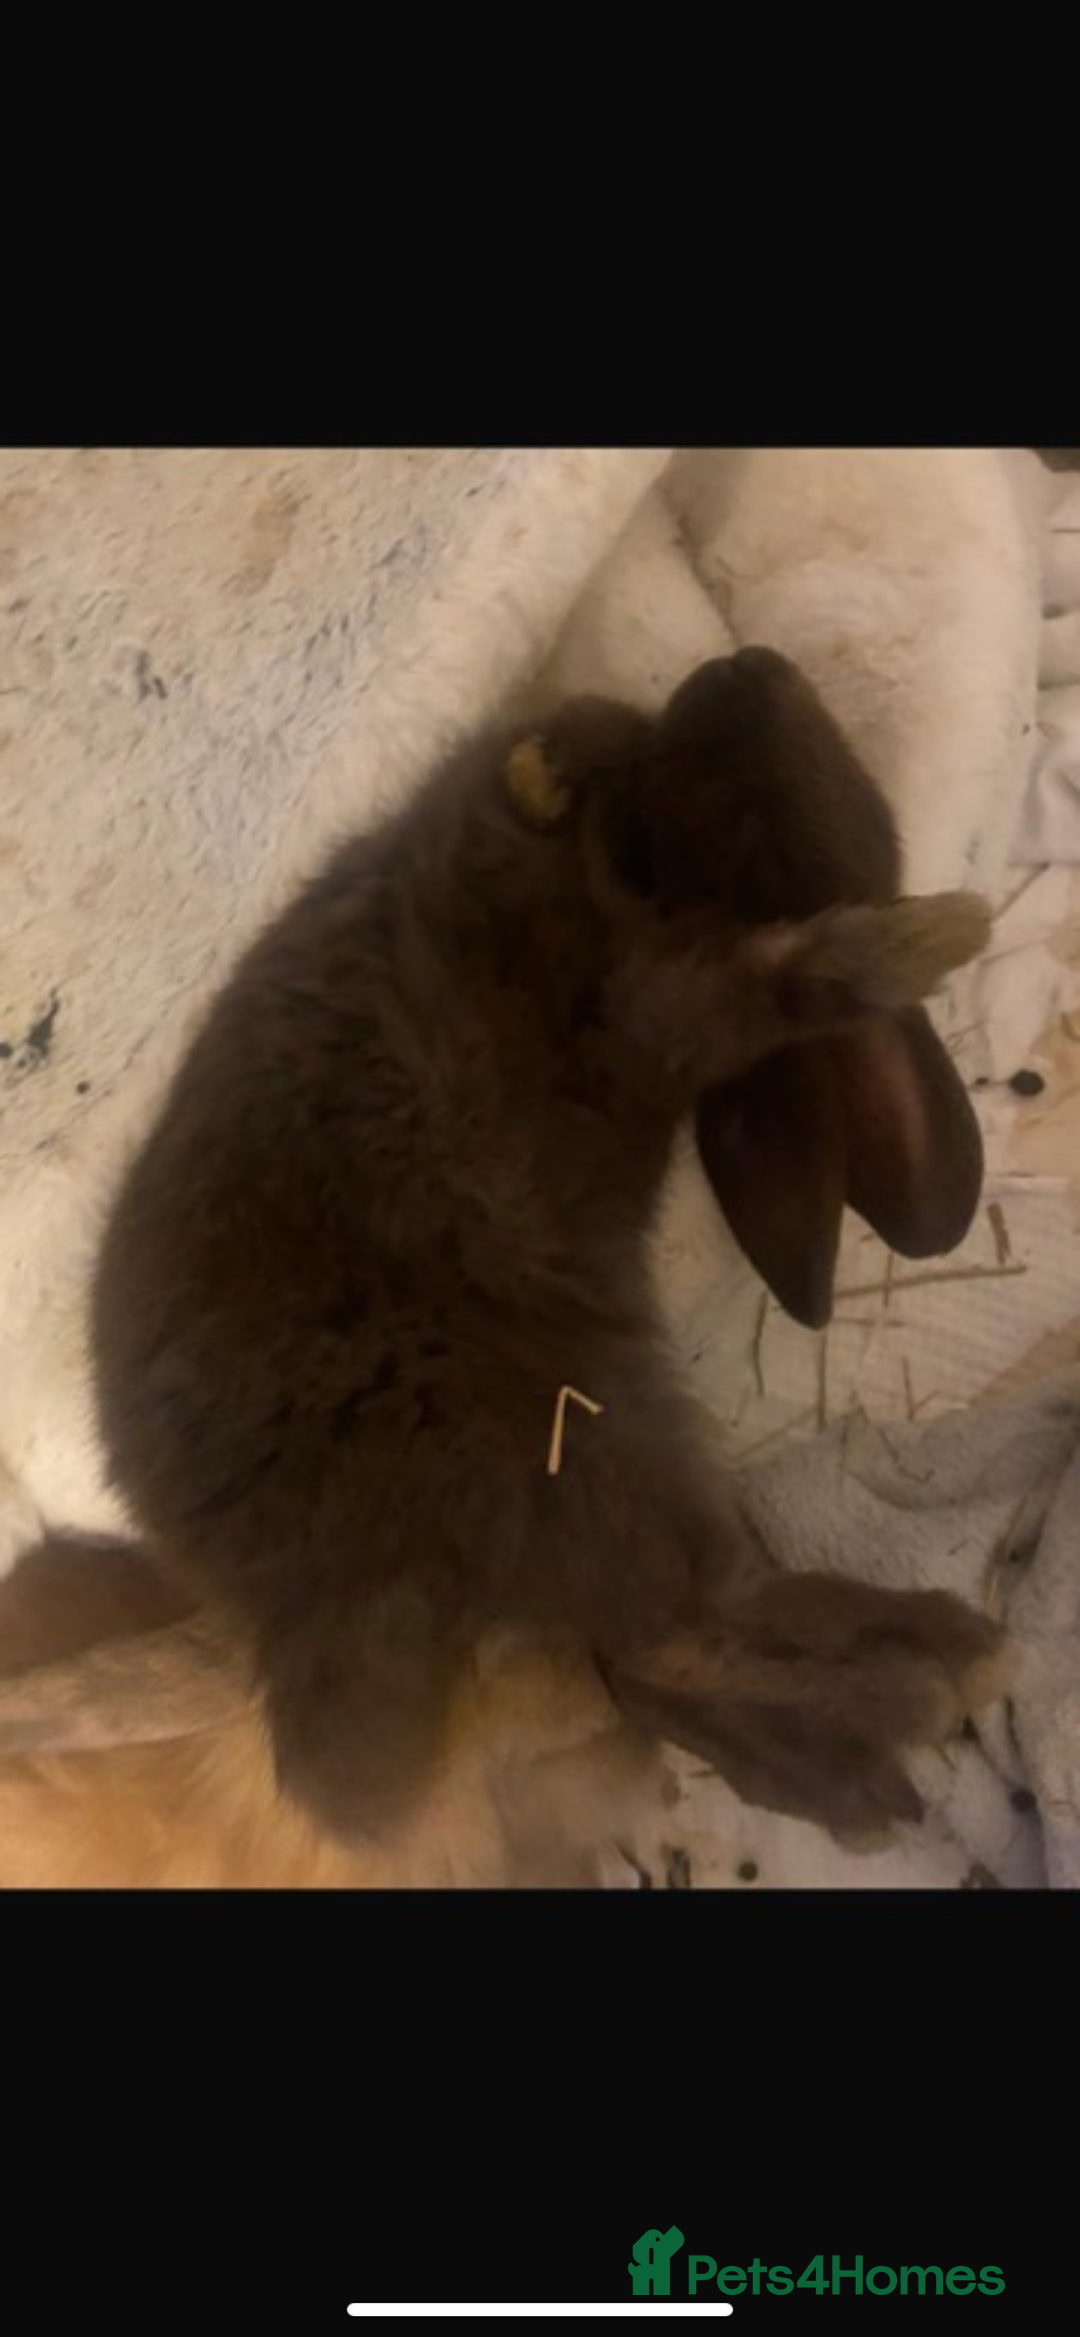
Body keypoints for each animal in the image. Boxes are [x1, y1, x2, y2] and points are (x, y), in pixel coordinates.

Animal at [3, 647, 998, 1860]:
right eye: (741, 793)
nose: (743, 662)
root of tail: (277, 1608)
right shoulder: (652, 1003)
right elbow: (778, 981)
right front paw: (937, 934)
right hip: (563, 1451)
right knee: (684, 1630)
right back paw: (935, 1674)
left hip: (606, 1433)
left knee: (686, 1622)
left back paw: (911, 1686)